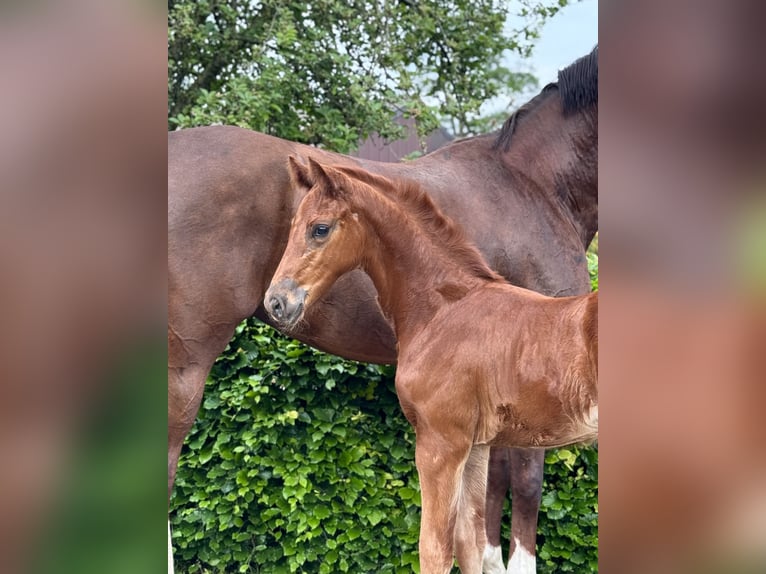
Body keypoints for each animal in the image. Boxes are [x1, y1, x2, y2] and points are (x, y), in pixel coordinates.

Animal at [266, 159, 600, 574]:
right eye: (293, 223)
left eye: (320, 228)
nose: (276, 302)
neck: (442, 310)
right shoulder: (477, 446)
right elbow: (470, 542)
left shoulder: (440, 444)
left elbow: (435, 548)